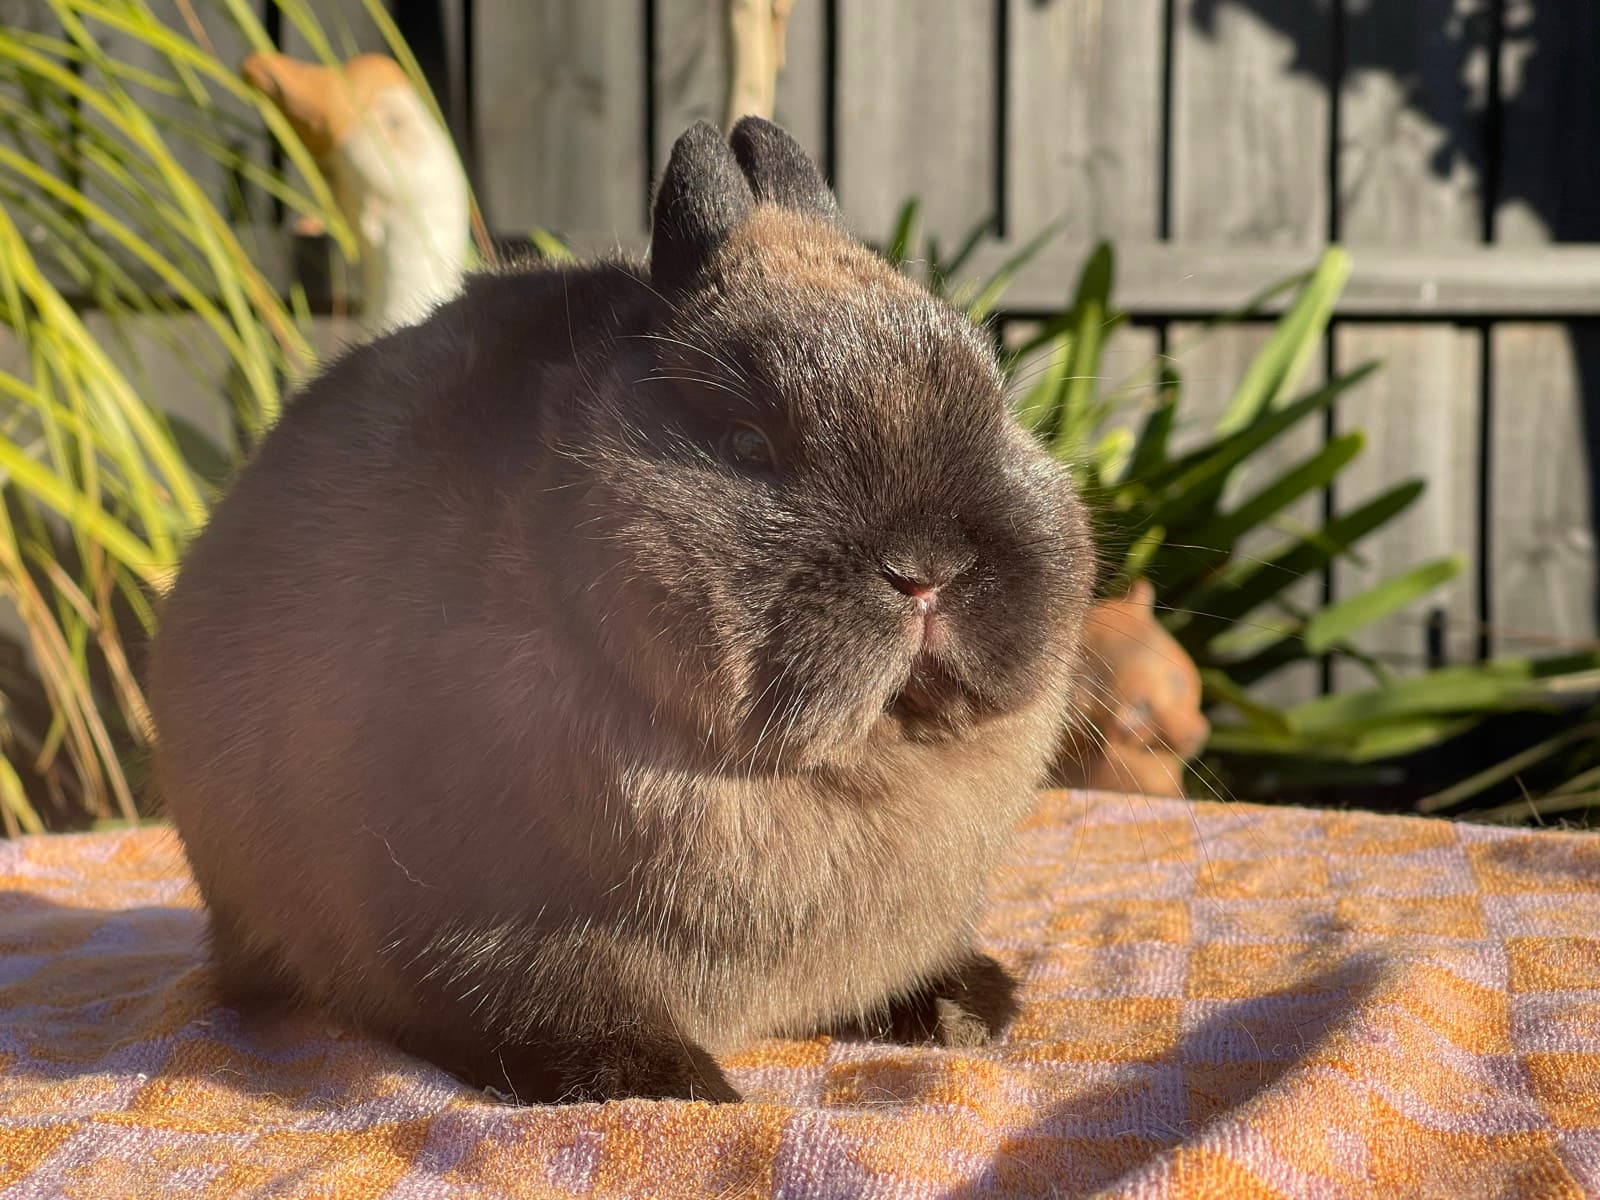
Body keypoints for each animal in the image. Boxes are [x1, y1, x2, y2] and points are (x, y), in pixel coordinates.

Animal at [147, 117, 1095, 1105]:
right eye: (746, 443)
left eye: (992, 405)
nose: (926, 572)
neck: (839, 770)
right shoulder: (490, 929)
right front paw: (672, 1085)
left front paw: (965, 1008)